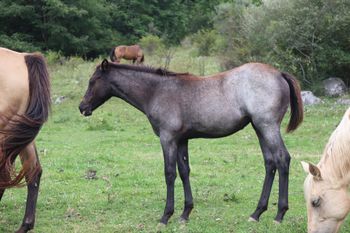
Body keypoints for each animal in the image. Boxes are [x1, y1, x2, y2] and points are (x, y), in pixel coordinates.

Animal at [79, 59, 304, 226]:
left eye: (93, 80)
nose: (82, 107)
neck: (157, 91)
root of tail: (279, 73)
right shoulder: (181, 140)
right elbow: (184, 171)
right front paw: (185, 214)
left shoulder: (167, 138)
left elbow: (170, 173)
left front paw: (166, 216)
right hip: (259, 128)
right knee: (270, 163)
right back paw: (256, 213)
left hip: (267, 126)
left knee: (282, 159)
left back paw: (279, 214)